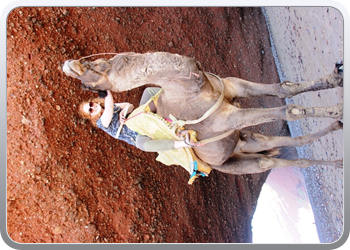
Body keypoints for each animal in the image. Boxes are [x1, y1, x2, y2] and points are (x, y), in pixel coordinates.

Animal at [62, 51, 342, 175]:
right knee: (269, 161)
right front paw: (339, 108)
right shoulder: (229, 118)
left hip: (248, 141)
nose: (68, 64)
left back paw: (338, 146)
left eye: (96, 65)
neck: (189, 87)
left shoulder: (234, 86)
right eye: (88, 86)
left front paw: (336, 77)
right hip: (236, 162)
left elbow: (285, 88)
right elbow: (290, 110)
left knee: (289, 145)